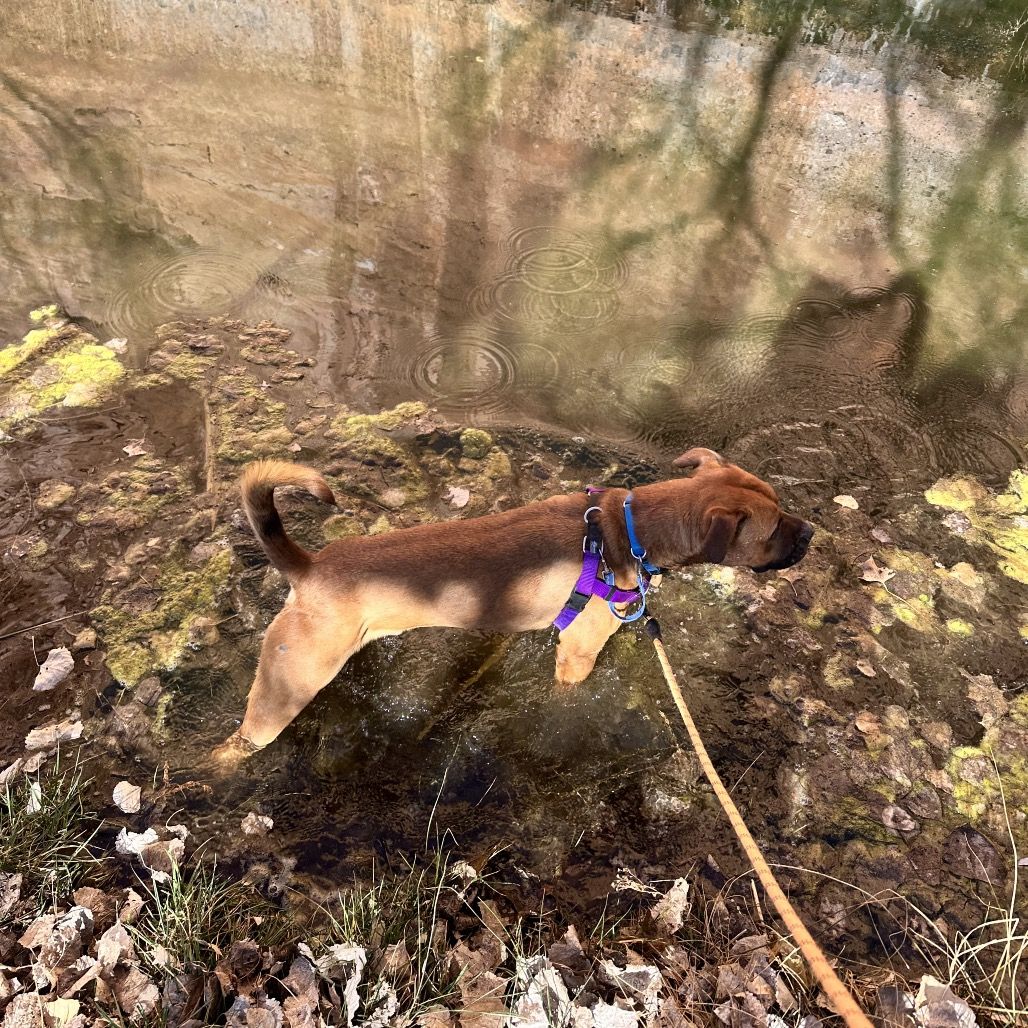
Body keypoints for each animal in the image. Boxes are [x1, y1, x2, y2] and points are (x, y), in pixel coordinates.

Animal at [211, 447, 813, 765]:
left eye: (782, 508)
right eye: (772, 530)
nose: (811, 532)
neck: (634, 529)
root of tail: (307, 567)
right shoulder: (577, 651)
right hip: (287, 687)